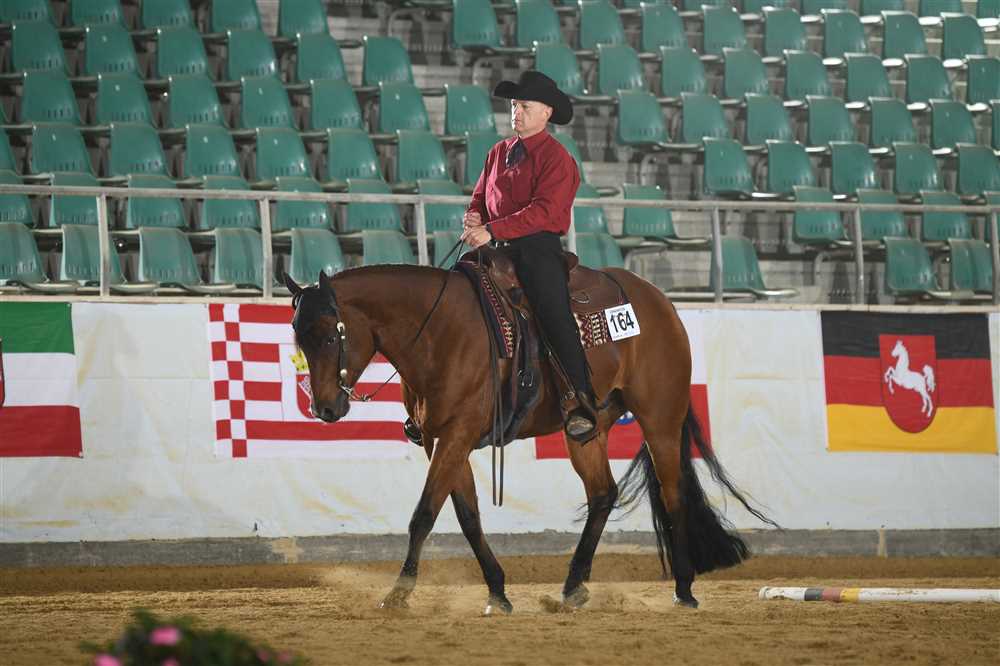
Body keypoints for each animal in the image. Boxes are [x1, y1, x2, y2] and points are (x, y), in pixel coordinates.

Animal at [285, 260, 773, 613]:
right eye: (299, 338)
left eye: (329, 335)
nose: (325, 408)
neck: (440, 331)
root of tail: (658, 301)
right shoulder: (442, 440)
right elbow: (467, 516)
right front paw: (498, 592)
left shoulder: (457, 434)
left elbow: (423, 514)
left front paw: (399, 593)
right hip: (587, 431)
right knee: (603, 494)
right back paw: (573, 588)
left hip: (661, 420)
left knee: (672, 495)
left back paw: (684, 589)